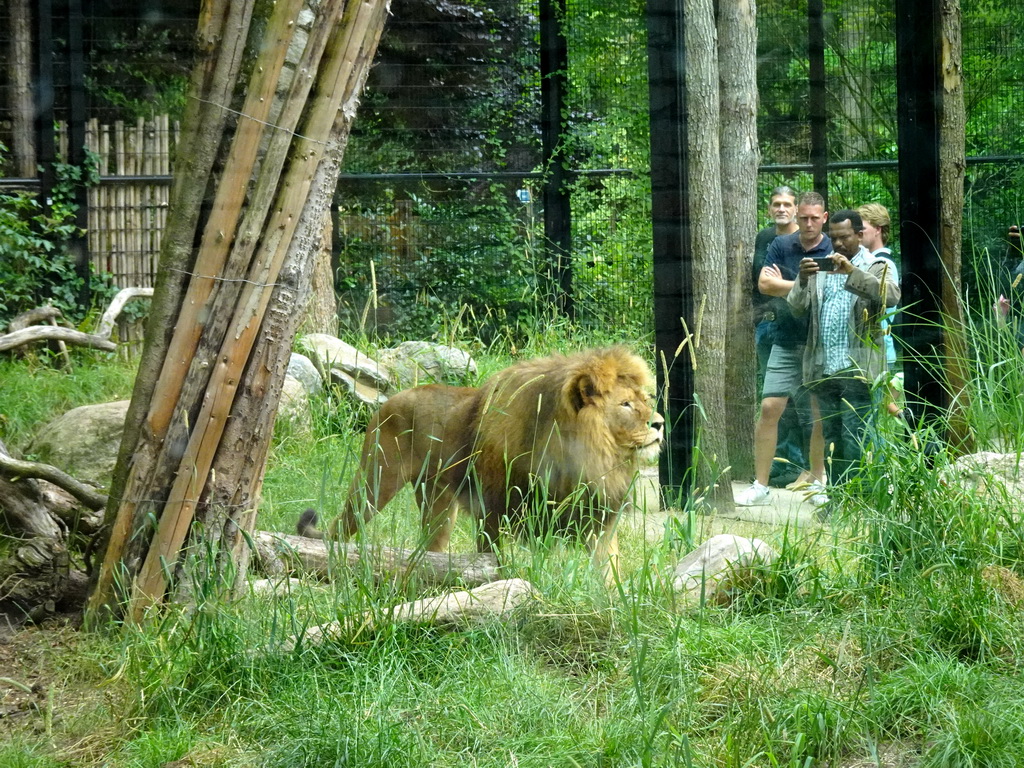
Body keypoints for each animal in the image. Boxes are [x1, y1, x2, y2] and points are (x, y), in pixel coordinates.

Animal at [296, 346, 663, 581]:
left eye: (645, 399)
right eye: (626, 404)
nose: (660, 423)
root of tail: (389, 400)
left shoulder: (597, 517)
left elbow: (608, 569)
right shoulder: (494, 511)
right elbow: (493, 560)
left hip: (438, 504)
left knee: (429, 549)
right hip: (375, 483)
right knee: (346, 525)